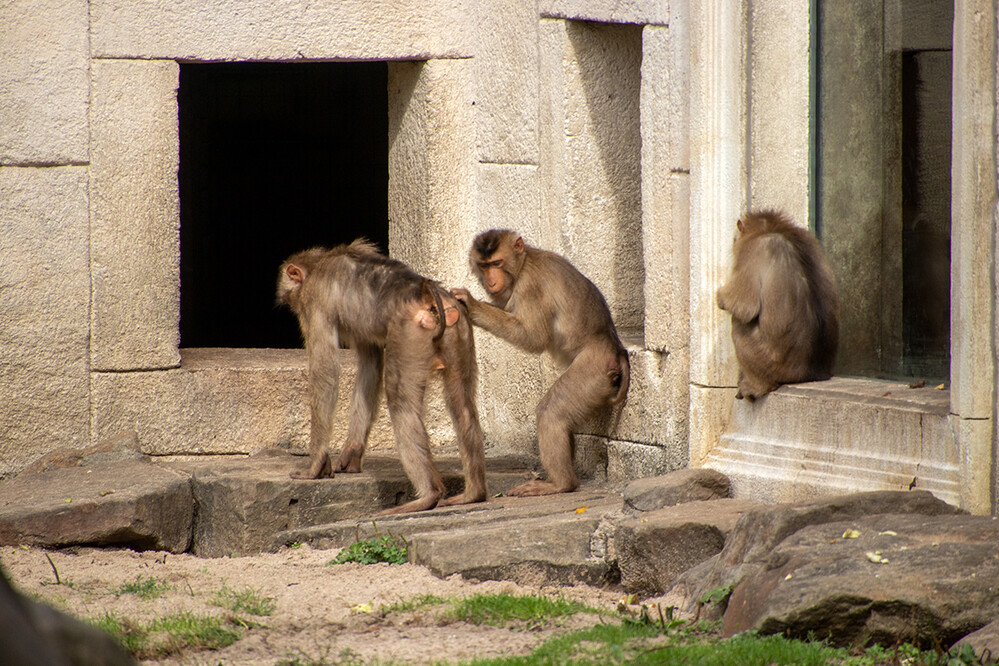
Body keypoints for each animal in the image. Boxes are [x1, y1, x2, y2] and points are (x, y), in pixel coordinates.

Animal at [278, 239, 488, 512]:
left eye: (291, 298)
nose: (293, 308)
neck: (320, 262)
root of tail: (427, 292)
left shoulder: (316, 302)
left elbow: (325, 372)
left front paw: (317, 464)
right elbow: (370, 363)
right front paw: (352, 453)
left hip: (410, 333)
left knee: (401, 401)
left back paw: (429, 495)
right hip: (459, 328)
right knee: (462, 403)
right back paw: (473, 493)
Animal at [456, 228, 632, 492]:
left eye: (497, 263)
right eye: (484, 265)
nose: (491, 280)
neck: (523, 263)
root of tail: (616, 347)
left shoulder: (531, 286)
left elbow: (534, 337)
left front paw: (472, 304)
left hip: (594, 371)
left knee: (551, 413)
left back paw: (562, 484)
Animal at [716, 208, 840, 400]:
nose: (734, 241)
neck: (774, 228)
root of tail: (808, 374)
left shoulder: (752, 250)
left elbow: (744, 307)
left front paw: (720, 297)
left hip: (767, 362)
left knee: (738, 325)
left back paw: (756, 387)